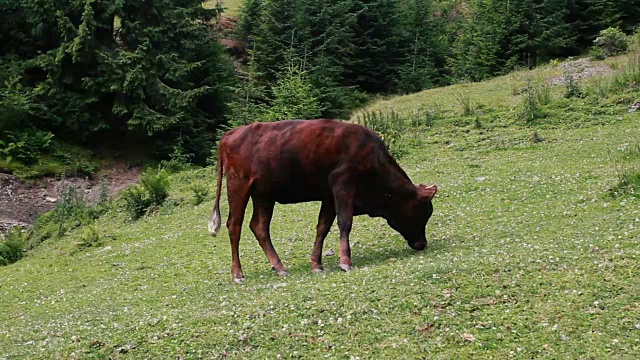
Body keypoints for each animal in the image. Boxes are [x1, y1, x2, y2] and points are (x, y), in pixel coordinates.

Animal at [208, 119, 438, 282]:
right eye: (424, 211)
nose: (422, 244)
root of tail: (231, 134)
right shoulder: (342, 182)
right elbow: (345, 222)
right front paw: (345, 261)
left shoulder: (328, 195)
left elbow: (323, 227)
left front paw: (316, 264)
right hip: (239, 185)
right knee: (234, 225)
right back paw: (238, 274)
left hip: (263, 194)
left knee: (259, 226)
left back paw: (280, 267)